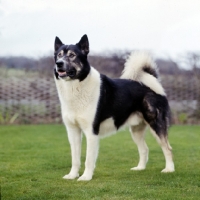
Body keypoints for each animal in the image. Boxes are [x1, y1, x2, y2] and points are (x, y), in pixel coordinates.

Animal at [54, 34, 174, 181]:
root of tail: (152, 84)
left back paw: (169, 169)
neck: (75, 87)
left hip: (156, 125)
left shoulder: (91, 132)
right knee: (144, 149)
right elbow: (75, 158)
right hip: (136, 130)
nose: (59, 63)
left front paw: (86, 177)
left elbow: (88, 159)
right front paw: (72, 175)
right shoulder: (73, 131)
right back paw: (140, 168)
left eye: (72, 55)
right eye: (59, 55)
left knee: (167, 148)